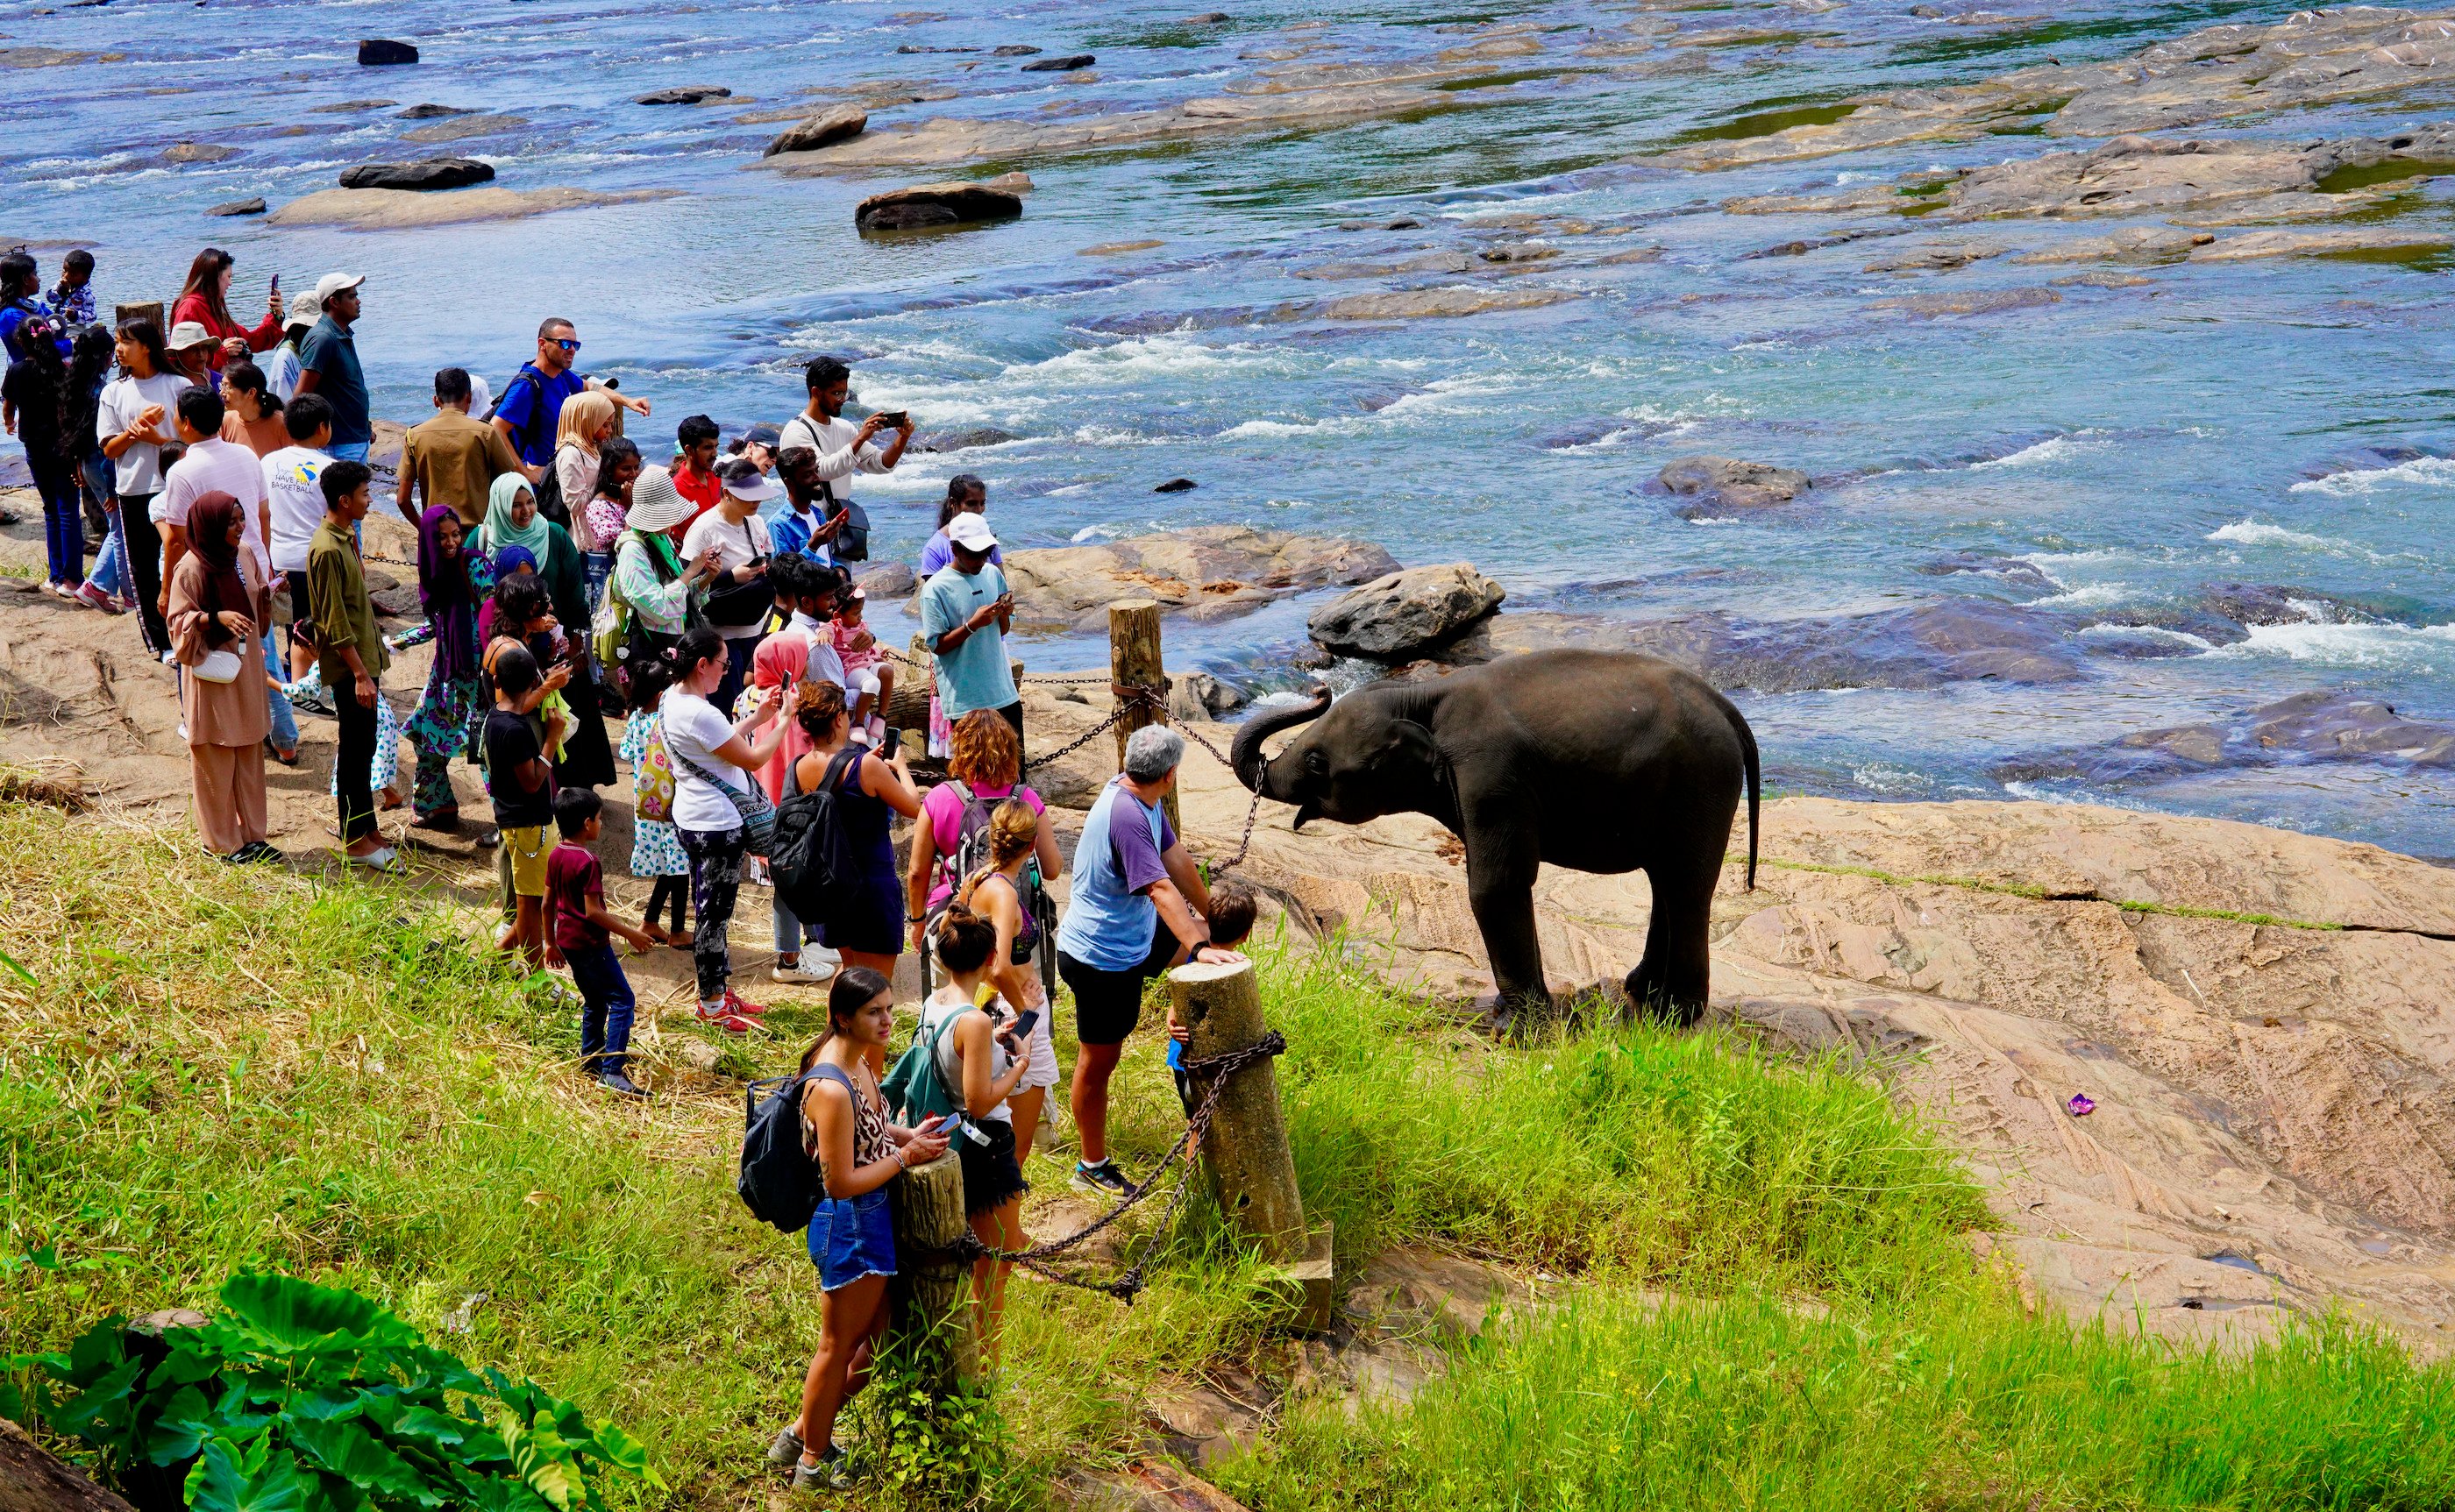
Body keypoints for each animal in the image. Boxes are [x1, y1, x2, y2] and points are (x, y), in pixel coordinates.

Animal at [1237, 648, 1757, 1026]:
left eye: (1315, 762)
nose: (1319, 688)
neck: (1421, 693)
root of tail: (1728, 708)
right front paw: (1511, 1015)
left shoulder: (1491, 777)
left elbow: (1495, 885)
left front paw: (1518, 1030)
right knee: (1664, 881)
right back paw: (1641, 991)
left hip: (1701, 784)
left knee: (1685, 885)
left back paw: (1674, 1016)